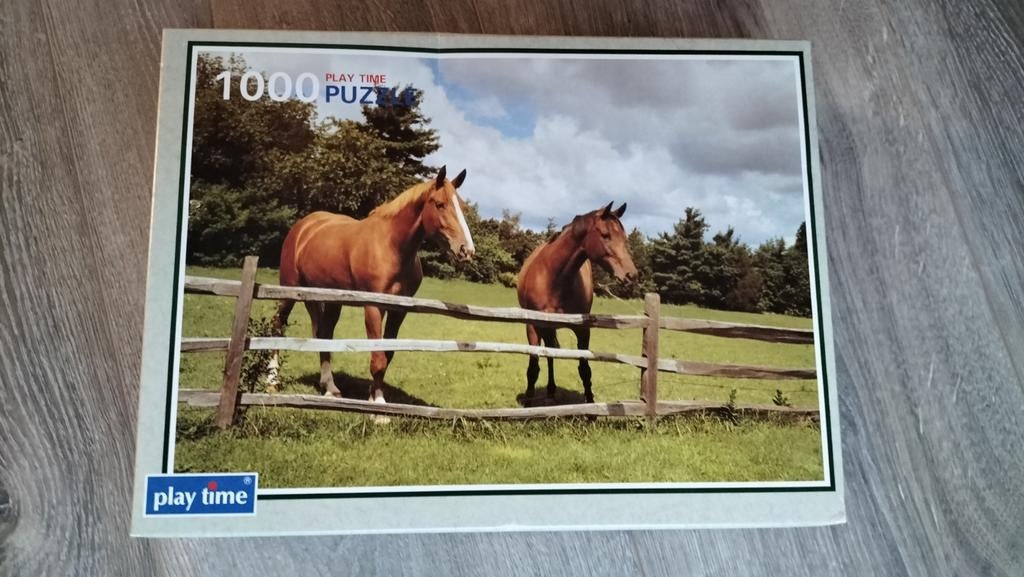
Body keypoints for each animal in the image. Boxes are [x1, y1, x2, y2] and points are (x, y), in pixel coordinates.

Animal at [268, 166, 474, 405]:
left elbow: (387, 354)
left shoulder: (399, 311)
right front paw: (378, 406)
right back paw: (272, 381)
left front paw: (373, 395)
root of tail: (303, 227)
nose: (466, 250)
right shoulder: (374, 307)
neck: (391, 246)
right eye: (440, 204)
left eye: (463, 207)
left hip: (330, 300)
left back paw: (330, 388)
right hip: (289, 290)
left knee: (324, 334)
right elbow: (377, 357)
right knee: (277, 325)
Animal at [516, 202, 638, 405]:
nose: (631, 275)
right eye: (605, 235)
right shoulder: (533, 325)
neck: (554, 277)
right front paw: (528, 404)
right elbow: (533, 369)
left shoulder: (582, 329)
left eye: (624, 237)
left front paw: (590, 405)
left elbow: (585, 369)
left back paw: (551, 390)